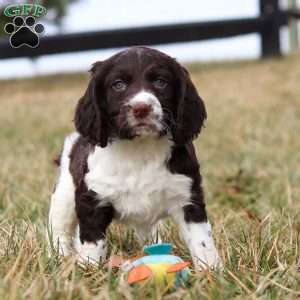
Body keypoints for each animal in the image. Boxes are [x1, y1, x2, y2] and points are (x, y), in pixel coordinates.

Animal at [48, 46, 221, 270]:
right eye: (118, 85)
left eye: (161, 82)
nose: (141, 108)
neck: (139, 149)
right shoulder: (92, 200)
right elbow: (93, 244)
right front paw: (90, 271)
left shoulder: (188, 197)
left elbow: (202, 241)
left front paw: (212, 272)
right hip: (65, 194)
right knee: (58, 229)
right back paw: (58, 257)